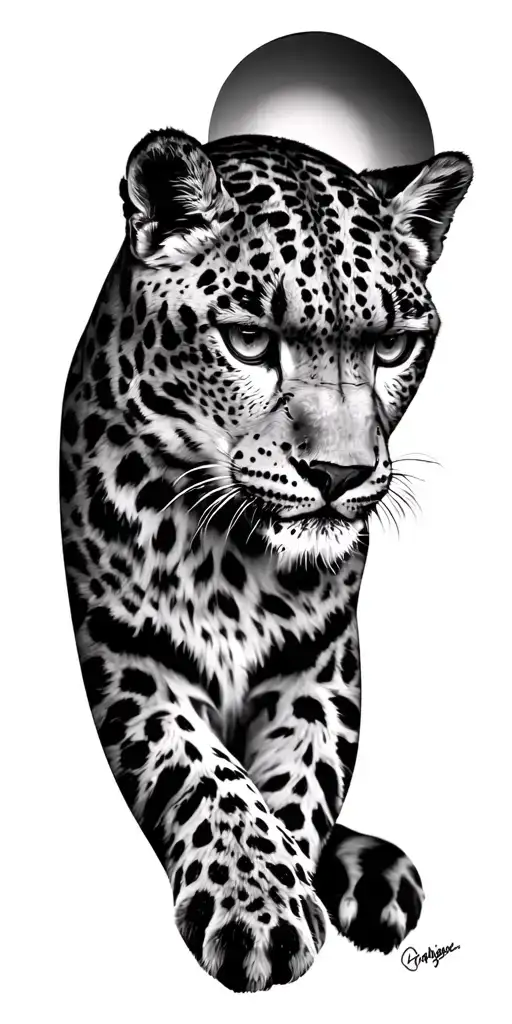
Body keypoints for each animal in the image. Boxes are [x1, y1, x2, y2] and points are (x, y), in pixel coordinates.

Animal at [60, 127, 472, 992]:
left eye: (393, 347)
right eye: (248, 342)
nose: (340, 476)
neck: (233, 560)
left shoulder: (320, 656)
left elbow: (302, 780)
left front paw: (283, 889)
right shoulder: (125, 645)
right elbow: (202, 771)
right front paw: (258, 908)